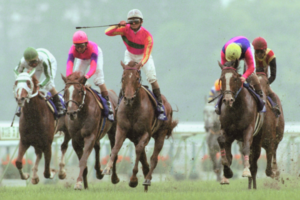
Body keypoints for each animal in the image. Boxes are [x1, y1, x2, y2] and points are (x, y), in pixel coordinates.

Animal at [103, 60, 178, 191]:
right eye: (123, 78)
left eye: (137, 78)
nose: (128, 98)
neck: (133, 109)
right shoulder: (121, 129)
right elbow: (116, 147)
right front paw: (107, 168)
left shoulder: (145, 133)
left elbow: (138, 150)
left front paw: (133, 180)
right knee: (144, 159)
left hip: (161, 134)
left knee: (153, 158)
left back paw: (147, 179)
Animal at [217, 61, 264, 189]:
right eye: (221, 79)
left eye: (235, 78)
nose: (228, 100)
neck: (236, 108)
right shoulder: (226, 130)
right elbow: (222, 143)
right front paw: (226, 172)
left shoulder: (248, 129)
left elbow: (246, 148)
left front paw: (246, 171)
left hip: (257, 139)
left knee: (254, 161)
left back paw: (253, 185)